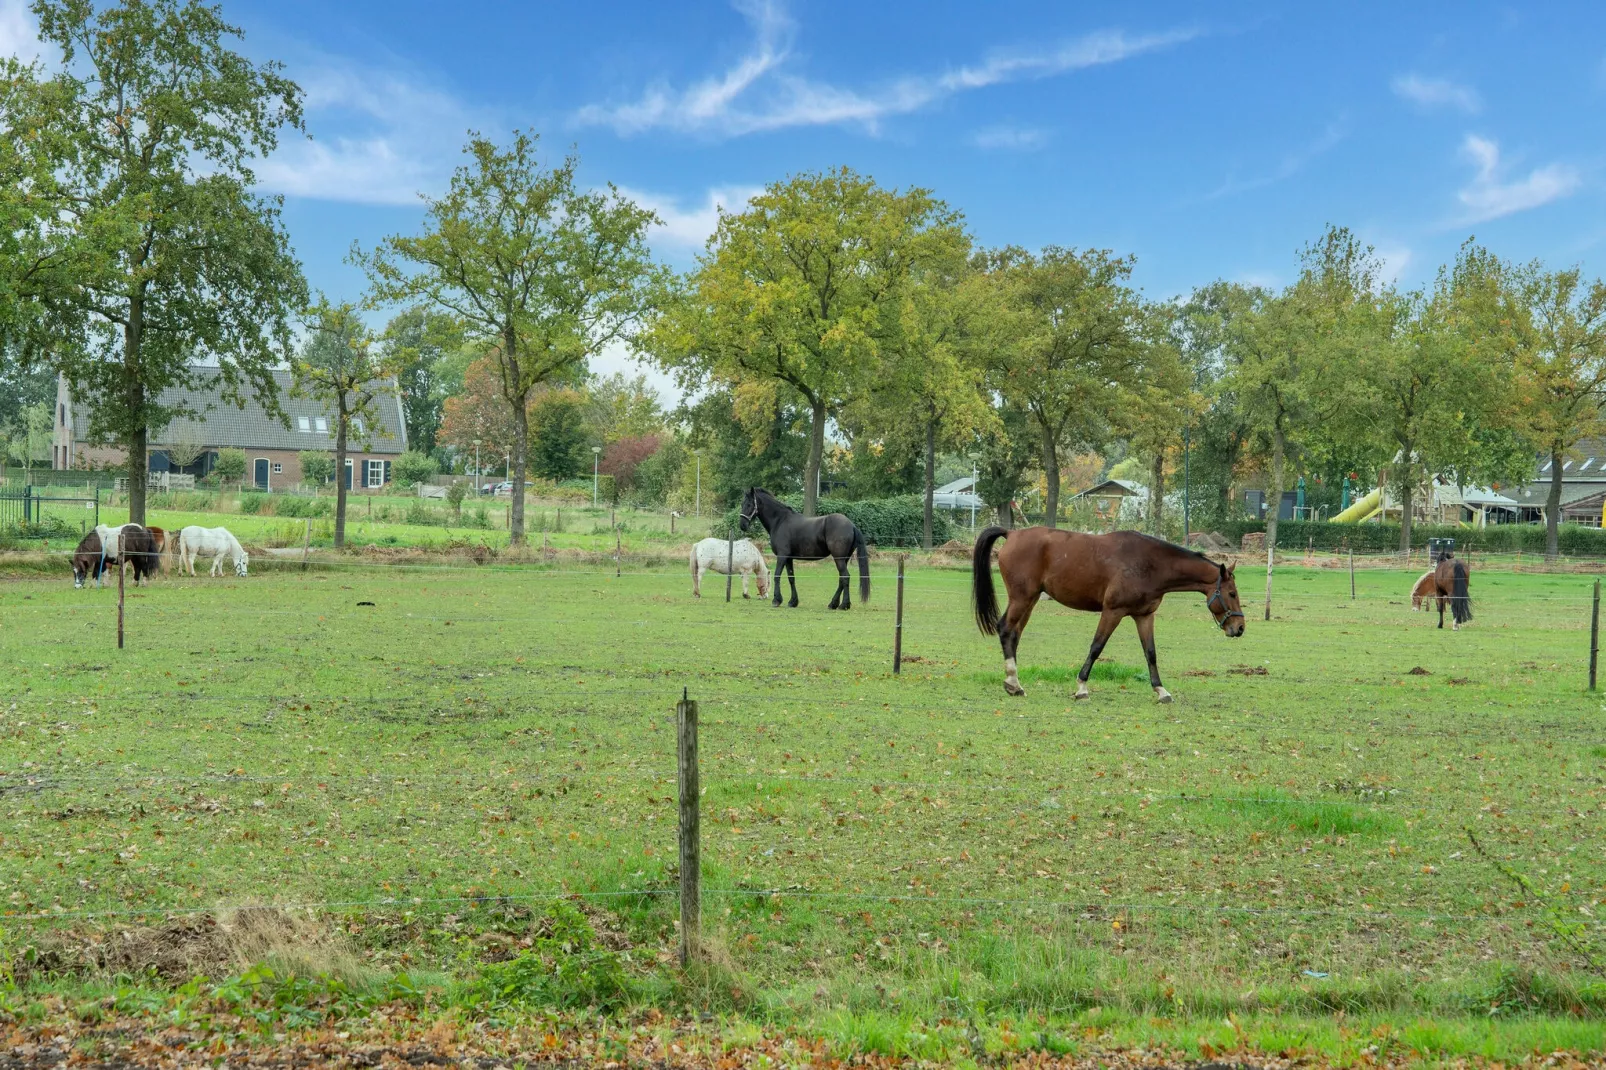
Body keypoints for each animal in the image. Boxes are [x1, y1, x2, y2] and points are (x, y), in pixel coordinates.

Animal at [735, 485, 873, 604]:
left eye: (749, 504)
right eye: (741, 504)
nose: (742, 525)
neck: (780, 521)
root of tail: (851, 525)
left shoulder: (782, 556)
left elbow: (777, 575)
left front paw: (777, 600)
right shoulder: (789, 558)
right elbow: (791, 578)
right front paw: (793, 602)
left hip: (839, 558)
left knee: (845, 577)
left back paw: (844, 604)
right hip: (844, 558)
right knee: (841, 578)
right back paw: (833, 604)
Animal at [970, 523, 1246, 700]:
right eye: (1232, 594)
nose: (1240, 627)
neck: (1150, 564)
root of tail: (1012, 533)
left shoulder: (1144, 616)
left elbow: (1151, 653)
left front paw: (1161, 690)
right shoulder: (1112, 611)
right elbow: (1096, 647)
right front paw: (1081, 687)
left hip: (1031, 600)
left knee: (1014, 634)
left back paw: (1013, 684)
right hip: (1022, 598)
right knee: (1006, 629)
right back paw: (1013, 682)